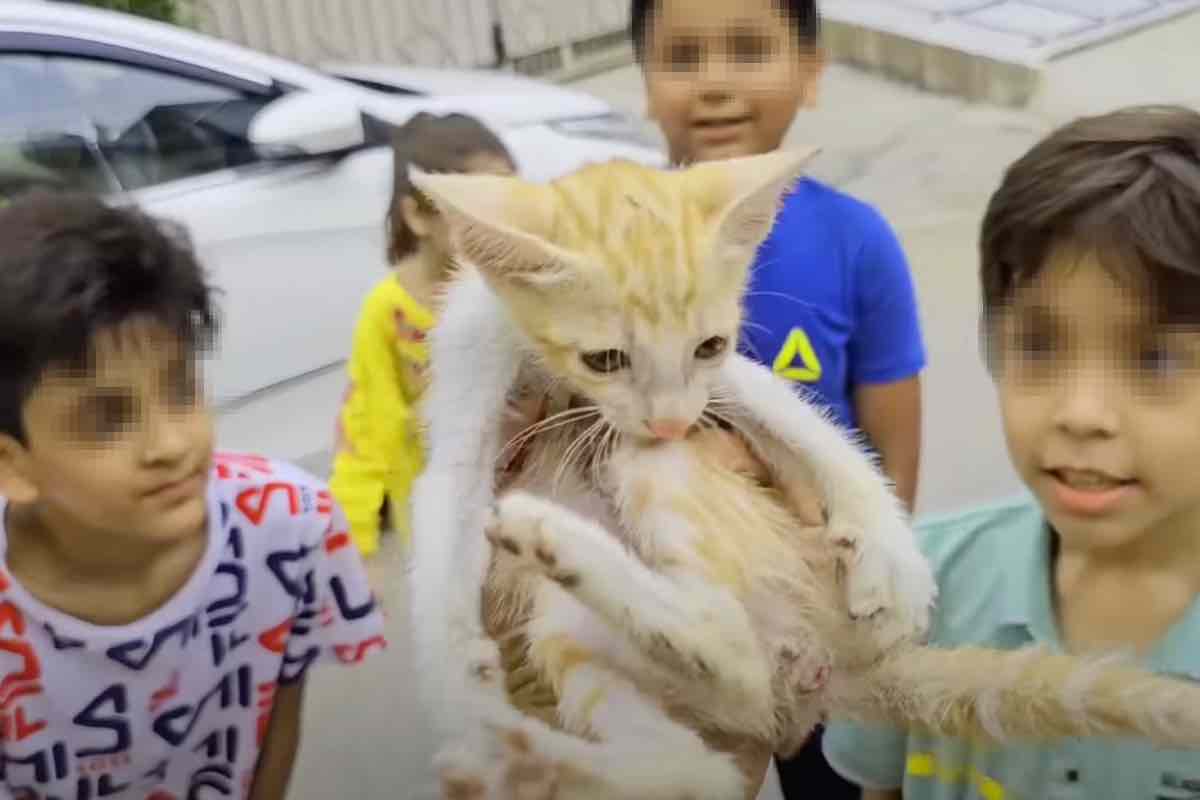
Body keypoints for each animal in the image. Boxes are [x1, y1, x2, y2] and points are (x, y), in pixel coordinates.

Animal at [408, 151, 1200, 800]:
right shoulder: (472, 361)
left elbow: (794, 416)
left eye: (709, 344)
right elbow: (447, 501)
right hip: (585, 635)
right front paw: (456, 682)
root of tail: (821, 674)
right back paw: (528, 758)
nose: (669, 422)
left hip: (667, 494)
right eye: (605, 359)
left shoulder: (716, 384)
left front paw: (892, 554)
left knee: (726, 658)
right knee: (703, 762)